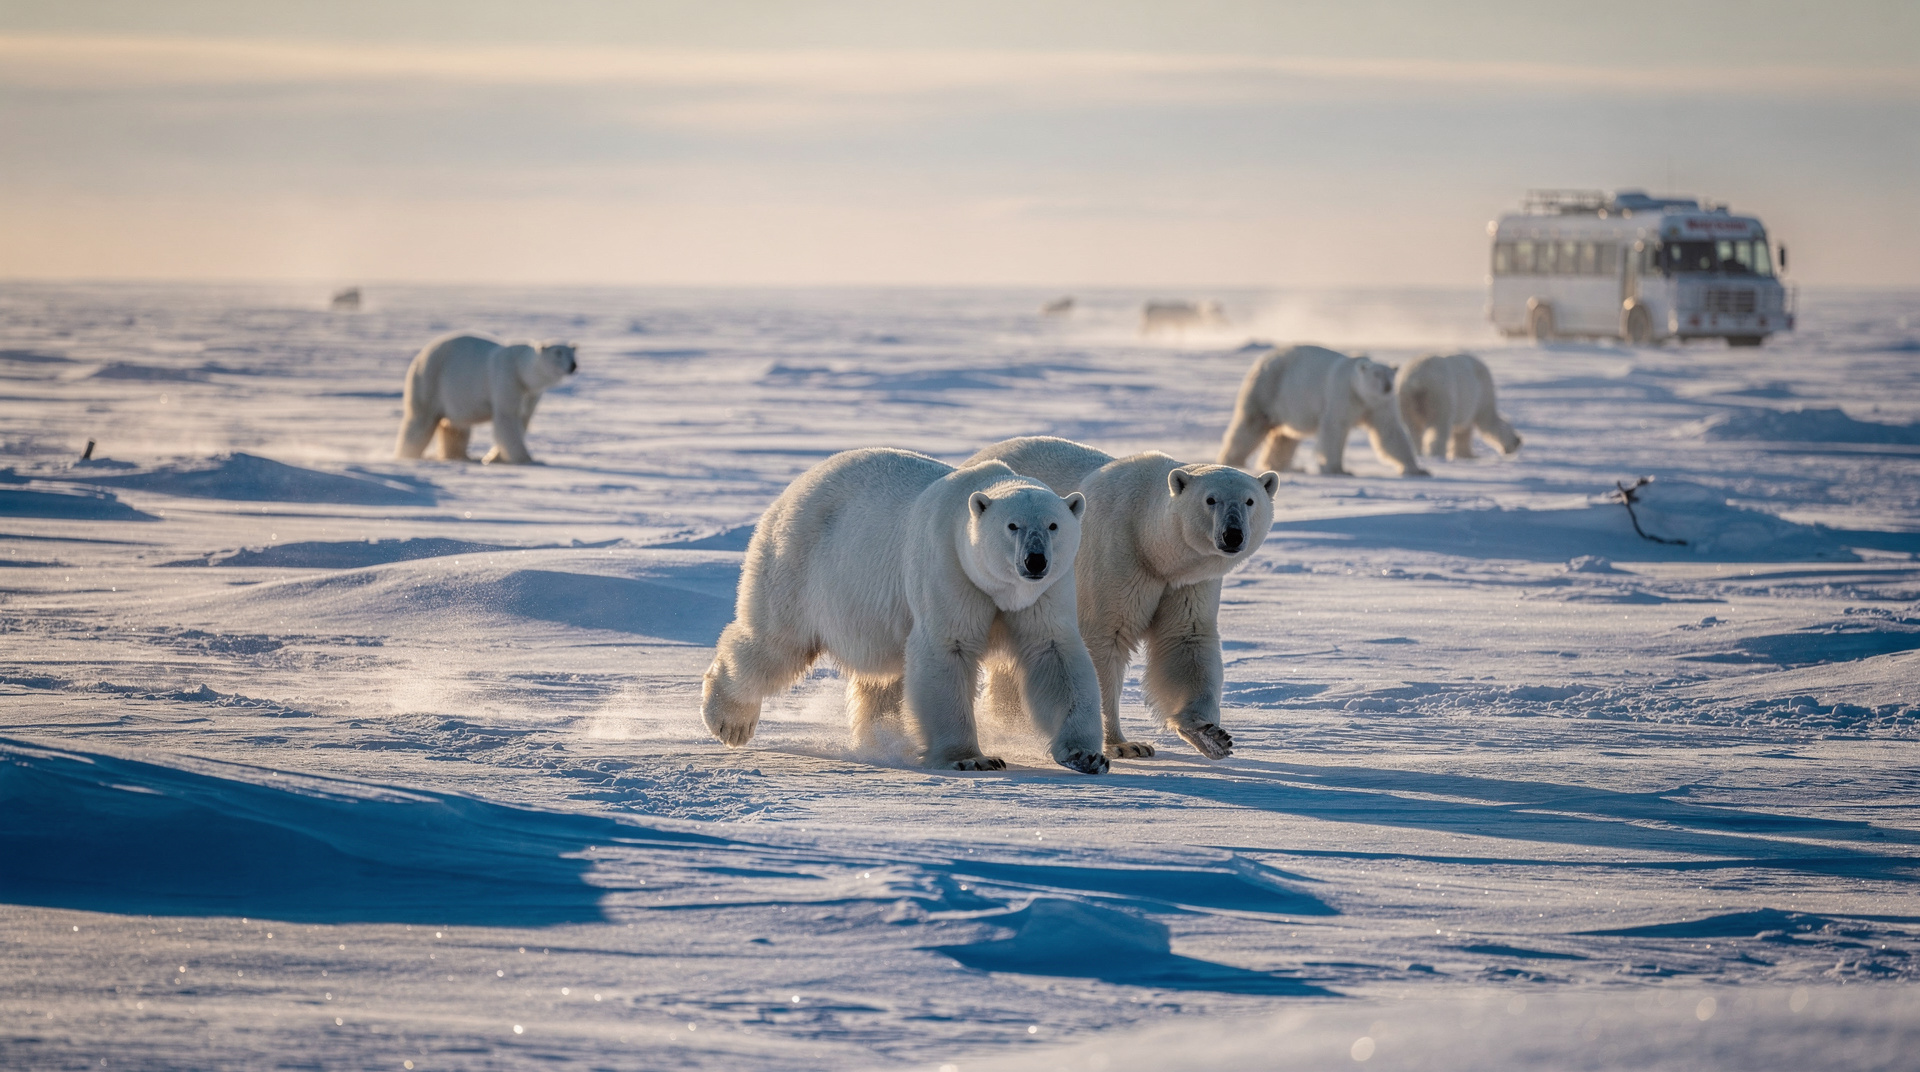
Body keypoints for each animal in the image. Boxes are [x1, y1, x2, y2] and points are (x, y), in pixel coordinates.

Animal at [394, 333, 577, 465]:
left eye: (572, 353)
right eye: (558, 352)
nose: (573, 366)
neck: (520, 370)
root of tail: (420, 356)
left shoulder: (531, 394)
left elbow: (523, 419)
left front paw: (495, 457)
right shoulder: (506, 380)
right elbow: (507, 419)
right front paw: (527, 459)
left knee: (456, 428)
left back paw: (459, 456)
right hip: (430, 380)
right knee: (421, 421)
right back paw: (408, 454)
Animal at [701, 447, 1109, 775]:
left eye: (1053, 525)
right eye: (1013, 526)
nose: (1035, 560)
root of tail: (796, 485)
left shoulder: (1045, 594)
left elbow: (1054, 654)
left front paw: (1088, 756)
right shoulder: (947, 568)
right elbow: (947, 650)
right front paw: (971, 758)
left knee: (880, 672)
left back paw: (881, 738)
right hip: (798, 565)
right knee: (775, 644)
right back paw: (729, 721)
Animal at [967, 437, 1280, 760]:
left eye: (1249, 501)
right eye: (1210, 499)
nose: (1233, 534)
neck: (1149, 542)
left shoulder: (1187, 582)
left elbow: (1185, 637)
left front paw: (1210, 734)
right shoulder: (1115, 557)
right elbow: (1106, 640)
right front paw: (1124, 744)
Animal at [1217, 345, 1429, 477]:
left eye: (1391, 375)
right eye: (1376, 374)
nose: (1387, 386)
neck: (1360, 394)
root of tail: (1262, 360)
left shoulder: (1380, 405)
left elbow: (1390, 431)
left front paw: (1418, 470)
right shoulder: (1342, 395)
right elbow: (1334, 428)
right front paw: (1338, 469)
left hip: (1290, 404)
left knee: (1286, 437)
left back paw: (1283, 466)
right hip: (1267, 388)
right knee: (1251, 425)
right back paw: (1234, 461)